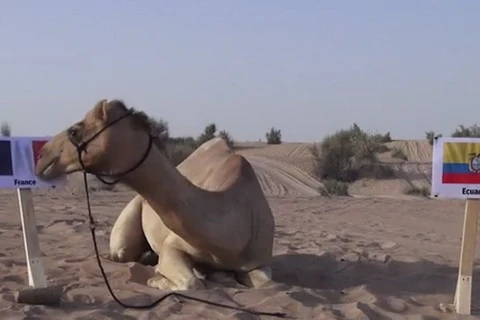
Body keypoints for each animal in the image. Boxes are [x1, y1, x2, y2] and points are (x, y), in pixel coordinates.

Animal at [34, 99, 274, 292]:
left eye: (74, 131)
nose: (41, 155)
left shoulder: (259, 260)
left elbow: (265, 282)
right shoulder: (173, 245)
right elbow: (191, 282)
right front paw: (157, 278)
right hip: (126, 229)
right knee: (121, 253)